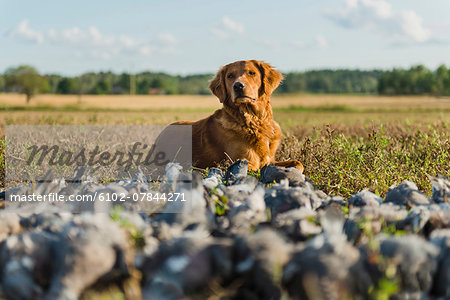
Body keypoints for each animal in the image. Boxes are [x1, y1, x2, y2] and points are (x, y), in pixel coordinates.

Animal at [167, 59, 304, 172]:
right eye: (230, 76)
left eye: (252, 73)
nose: (238, 85)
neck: (254, 120)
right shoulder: (243, 162)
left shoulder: (270, 160)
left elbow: (298, 163)